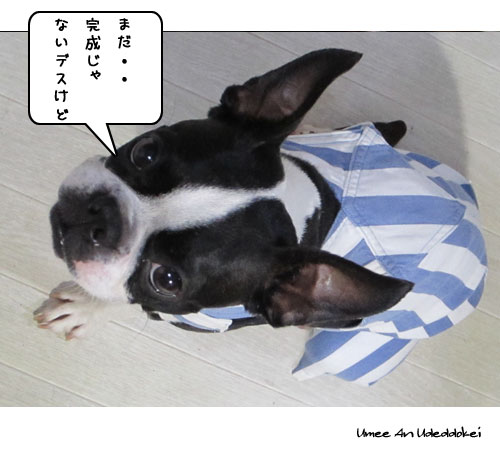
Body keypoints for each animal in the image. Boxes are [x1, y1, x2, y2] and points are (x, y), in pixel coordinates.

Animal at [34, 49, 487, 386]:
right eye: (145, 151)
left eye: (167, 280)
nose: (98, 219)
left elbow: (125, 298)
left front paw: (86, 308)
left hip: (346, 356)